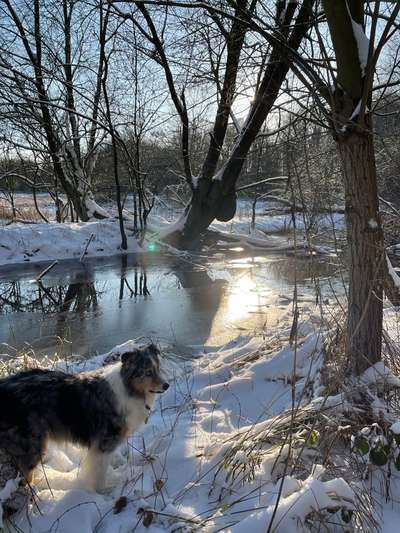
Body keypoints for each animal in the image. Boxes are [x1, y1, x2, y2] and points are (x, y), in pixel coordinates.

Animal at [0, 344, 167, 490]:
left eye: (158, 369)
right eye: (148, 372)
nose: (167, 386)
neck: (130, 389)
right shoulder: (104, 443)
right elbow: (99, 472)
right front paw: (102, 491)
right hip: (34, 445)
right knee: (26, 477)